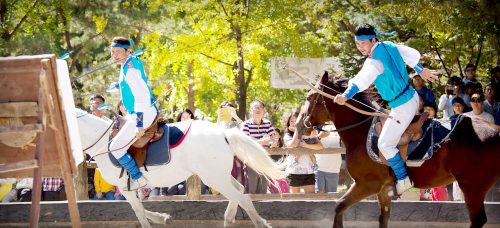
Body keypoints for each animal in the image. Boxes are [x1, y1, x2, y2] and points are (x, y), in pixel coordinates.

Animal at [76, 109, 284, 227]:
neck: (103, 142)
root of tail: (223, 132)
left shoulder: (125, 188)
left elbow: (139, 212)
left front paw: (158, 219)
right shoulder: (131, 187)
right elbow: (141, 208)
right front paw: (163, 218)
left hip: (214, 178)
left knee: (244, 198)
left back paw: (260, 223)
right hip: (219, 176)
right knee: (240, 190)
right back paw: (228, 219)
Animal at [294, 72, 498, 227]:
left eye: (309, 98)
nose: (299, 125)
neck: (361, 131)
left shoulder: (367, 185)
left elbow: (339, 206)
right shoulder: (383, 191)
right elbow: (383, 218)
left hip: (472, 186)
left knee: (477, 219)